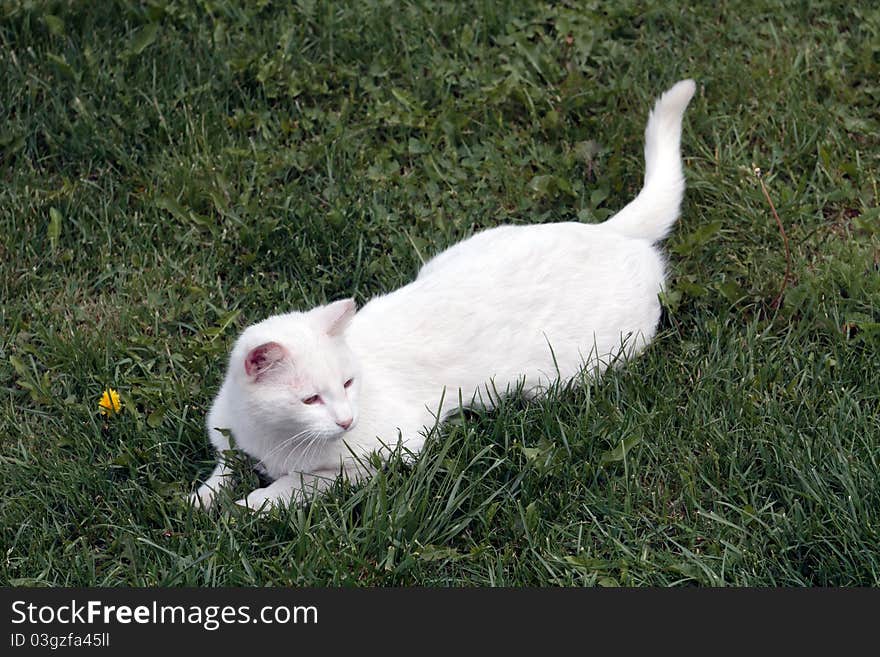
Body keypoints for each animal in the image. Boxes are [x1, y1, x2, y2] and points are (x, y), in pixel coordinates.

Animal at [191, 79, 696, 510]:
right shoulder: (229, 437)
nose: (346, 420)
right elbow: (222, 469)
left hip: (579, 367)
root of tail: (609, 231)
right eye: (310, 399)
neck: (270, 439)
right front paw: (200, 501)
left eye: (349, 385)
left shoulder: (386, 453)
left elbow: (296, 485)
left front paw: (249, 506)